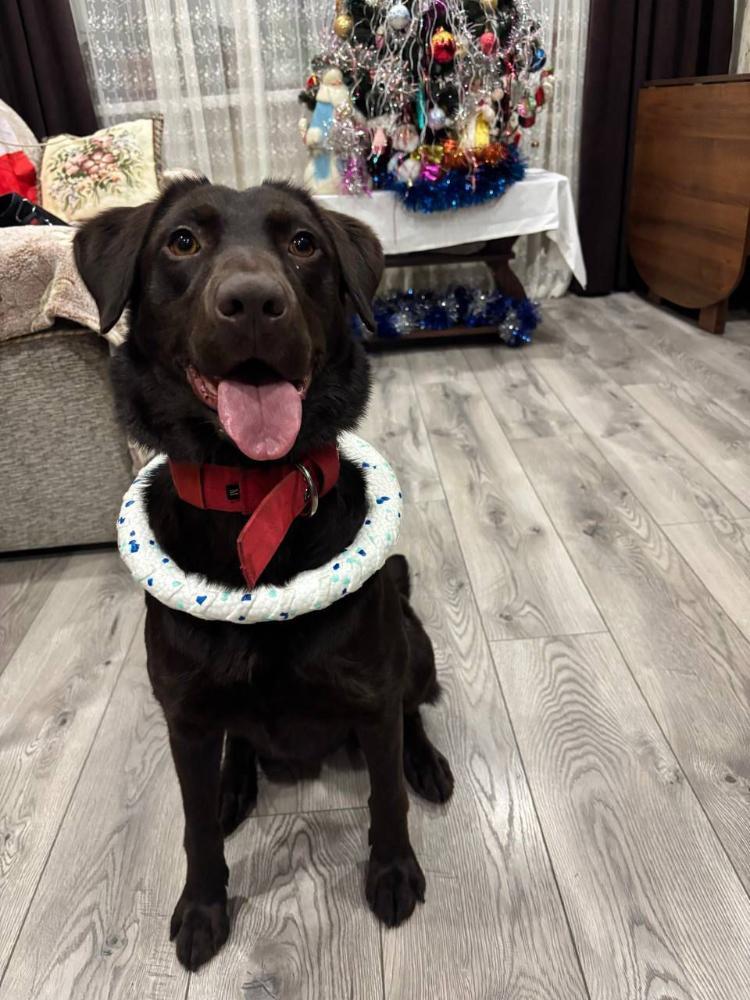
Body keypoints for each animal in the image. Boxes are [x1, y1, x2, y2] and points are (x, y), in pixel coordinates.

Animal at [74, 176, 454, 971]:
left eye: (303, 243)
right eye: (182, 241)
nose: (253, 301)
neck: (254, 495)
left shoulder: (371, 693)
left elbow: (386, 798)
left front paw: (393, 871)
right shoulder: (185, 719)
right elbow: (194, 828)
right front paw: (203, 907)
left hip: (413, 642)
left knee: (414, 709)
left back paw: (427, 762)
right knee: (240, 744)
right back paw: (233, 785)